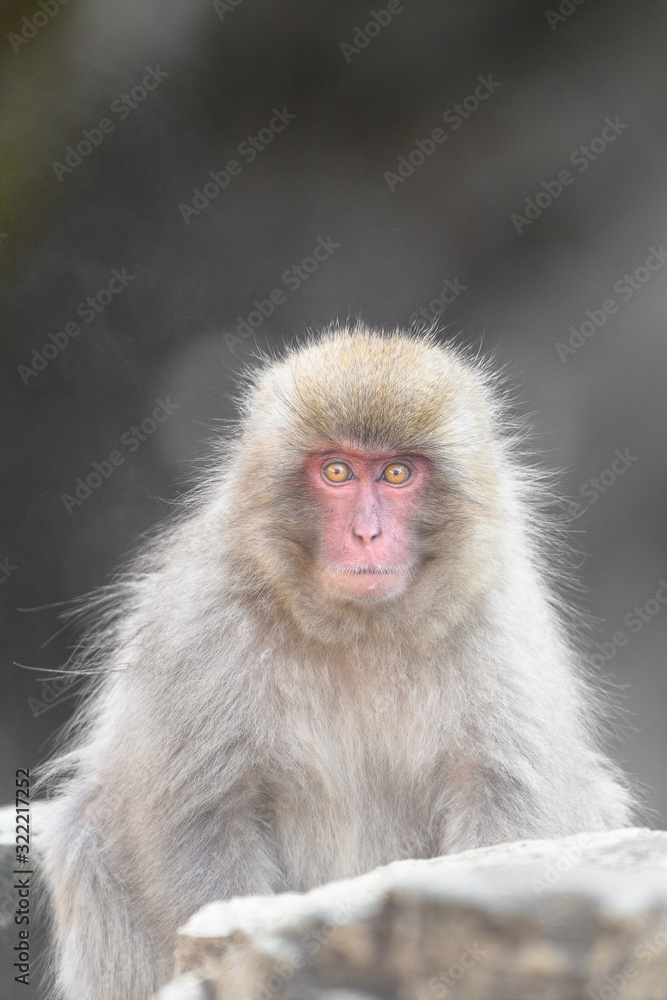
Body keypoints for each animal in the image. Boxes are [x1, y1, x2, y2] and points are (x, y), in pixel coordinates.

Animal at [43, 324, 636, 996]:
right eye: (337, 471)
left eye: (398, 473)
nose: (366, 535)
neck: (359, 630)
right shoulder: (202, 622)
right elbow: (204, 826)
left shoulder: (498, 625)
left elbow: (504, 804)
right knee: (89, 827)